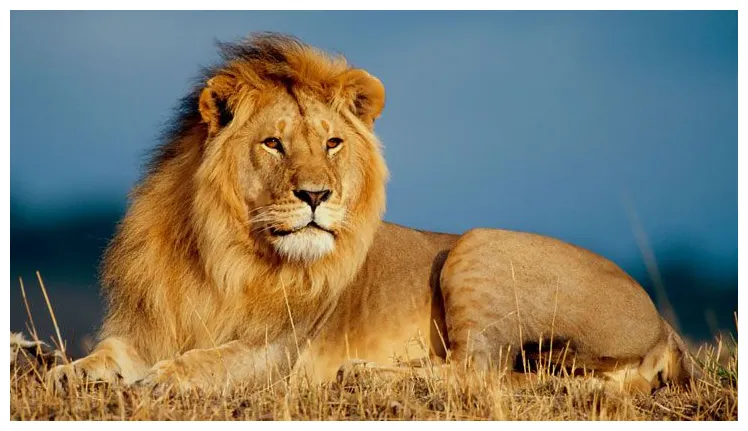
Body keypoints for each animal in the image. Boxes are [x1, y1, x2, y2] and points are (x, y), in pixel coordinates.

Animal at [49, 33, 698, 394]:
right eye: (273, 144)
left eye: (333, 143)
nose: (316, 195)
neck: (220, 252)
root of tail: (664, 324)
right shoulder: (148, 324)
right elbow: (109, 353)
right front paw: (67, 373)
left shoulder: (278, 352)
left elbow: (214, 359)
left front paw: (165, 378)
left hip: (478, 246)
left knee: (478, 373)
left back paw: (365, 375)